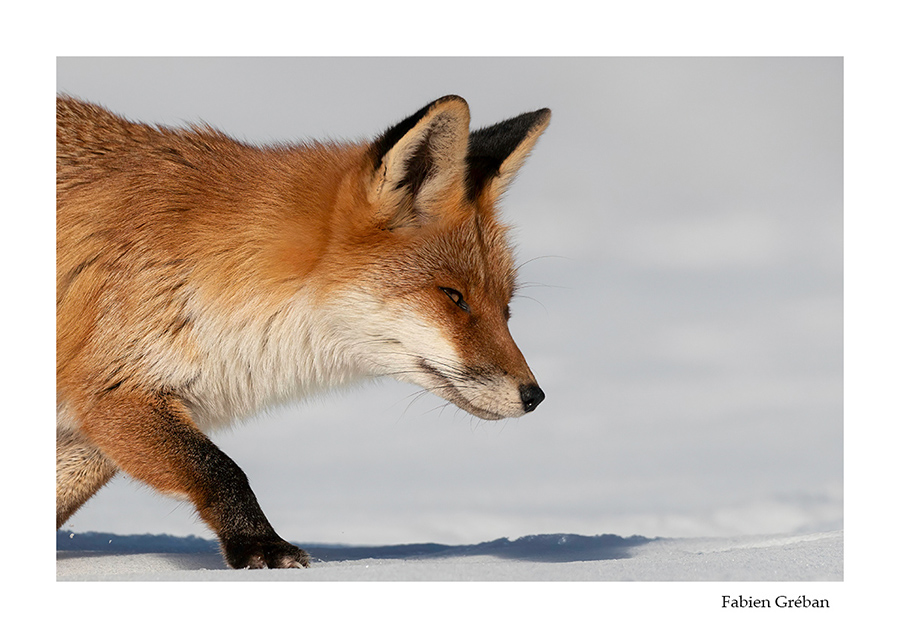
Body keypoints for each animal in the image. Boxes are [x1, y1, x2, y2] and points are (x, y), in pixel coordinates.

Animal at [57, 94, 550, 569]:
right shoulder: (115, 391)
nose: (535, 396)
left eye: (505, 308)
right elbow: (222, 470)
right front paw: (260, 546)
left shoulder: (89, 430)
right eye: (454, 296)